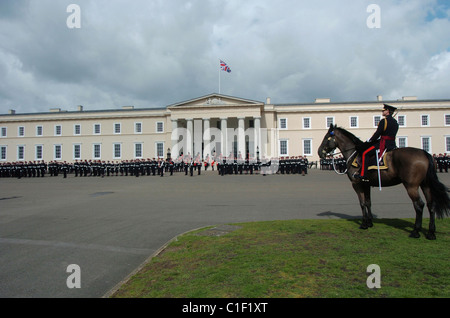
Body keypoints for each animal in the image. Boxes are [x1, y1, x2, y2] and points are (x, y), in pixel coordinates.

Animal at [318, 123, 448, 238]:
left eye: (326, 137)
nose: (319, 152)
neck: (354, 155)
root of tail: (425, 153)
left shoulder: (357, 184)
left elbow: (362, 203)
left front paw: (364, 224)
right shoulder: (366, 184)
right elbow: (368, 202)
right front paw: (370, 223)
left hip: (411, 186)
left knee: (419, 205)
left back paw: (415, 231)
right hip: (425, 185)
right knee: (431, 205)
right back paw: (431, 233)